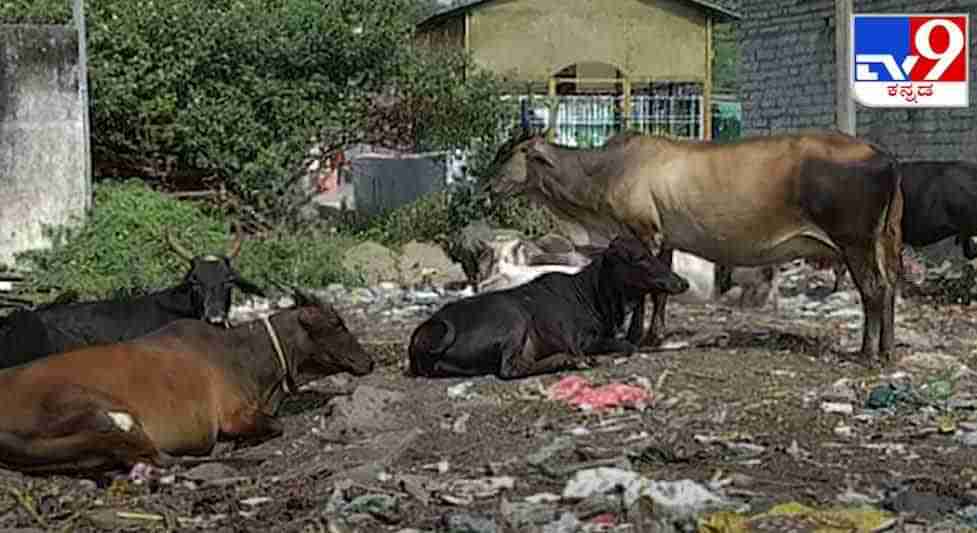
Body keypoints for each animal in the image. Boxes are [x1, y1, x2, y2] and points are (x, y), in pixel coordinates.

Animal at [0, 290, 374, 474]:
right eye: (337, 323)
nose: (370, 361)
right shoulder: (233, 415)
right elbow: (275, 426)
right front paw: (239, 444)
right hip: (107, 416)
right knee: (160, 459)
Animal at [408, 236, 692, 378]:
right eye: (638, 258)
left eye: (652, 253)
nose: (682, 282)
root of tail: (431, 328)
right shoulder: (581, 340)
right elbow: (628, 346)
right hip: (513, 319)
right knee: (509, 369)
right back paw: (568, 361)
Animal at [492, 129, 904, 366]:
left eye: (510, 153)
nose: (487, 184)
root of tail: (885, 156)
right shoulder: (664, 240)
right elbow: (660, 292)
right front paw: (655, 335)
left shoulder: (643, 232)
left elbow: (643, 293)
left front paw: (635, 336)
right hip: (884, 241)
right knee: (891, 286)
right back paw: (887, 349)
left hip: (855, 241)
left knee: (874, 290)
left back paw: (867, 354)